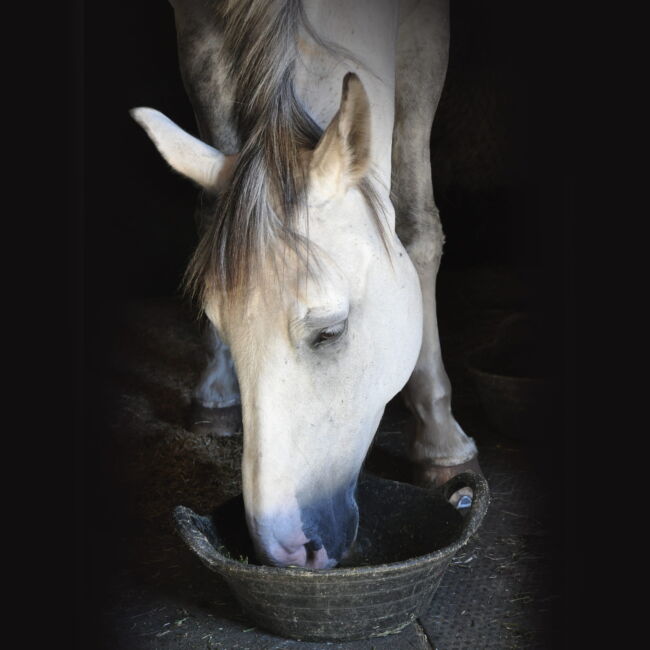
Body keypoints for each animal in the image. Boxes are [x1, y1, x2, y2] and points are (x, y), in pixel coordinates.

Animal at [132, 0, 480, 569]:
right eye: (216, 322)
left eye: (330, 333)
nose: (290, 550)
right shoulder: (197, 25)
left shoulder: (425, 33)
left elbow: (417, 227)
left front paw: (442, 440)